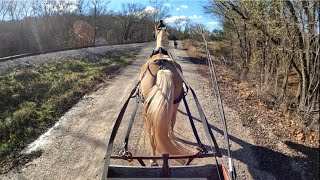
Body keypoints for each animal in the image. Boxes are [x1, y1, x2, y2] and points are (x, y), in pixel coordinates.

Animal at [140, 26, 188, 165]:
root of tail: (162, 67)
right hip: (175, 103)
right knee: (171, 122)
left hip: (148, 110)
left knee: (152, 134)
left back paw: (153, 159)